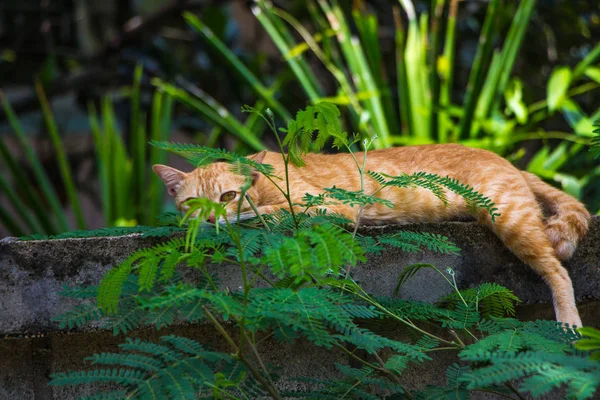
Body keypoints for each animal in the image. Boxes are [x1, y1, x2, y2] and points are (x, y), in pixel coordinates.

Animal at [155, 145, 592, 326]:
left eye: (228, 196)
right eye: (193, 203)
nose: (211, 219)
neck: (267, 181)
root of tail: (507, 161)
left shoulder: (330, 206)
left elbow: (265, 214)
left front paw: (240, 217)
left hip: (508, 215)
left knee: (558, 270)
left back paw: (569, 319)